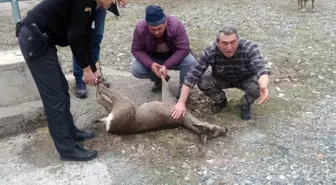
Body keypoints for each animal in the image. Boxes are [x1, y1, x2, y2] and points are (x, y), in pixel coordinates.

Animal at [95, 74, 228, 144]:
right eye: (215, 130)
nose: (226, 129)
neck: (183, 117)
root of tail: (109, 126)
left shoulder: (169, 101)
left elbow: (165, 87)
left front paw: (162, 73)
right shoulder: (169, 101)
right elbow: (165, 86)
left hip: (124, 105)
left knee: (101, 97)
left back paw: (98, 82)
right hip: (122, 106)